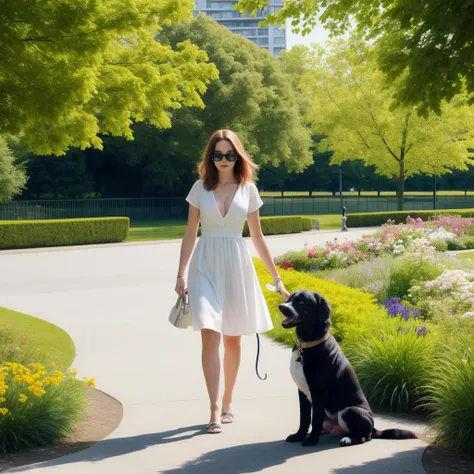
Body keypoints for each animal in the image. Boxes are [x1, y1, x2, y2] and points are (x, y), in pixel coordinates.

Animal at [280, 288, 416, 448]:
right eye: (289, 299)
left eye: (301, 302)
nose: (281, 306)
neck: (308, 344)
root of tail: (374, 427)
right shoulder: (302, 391)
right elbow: (304, 418)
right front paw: (299, 436)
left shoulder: (318, 391)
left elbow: (315, 419)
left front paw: (311, 440)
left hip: (349, 411)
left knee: (366, 437)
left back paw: (348, 439)